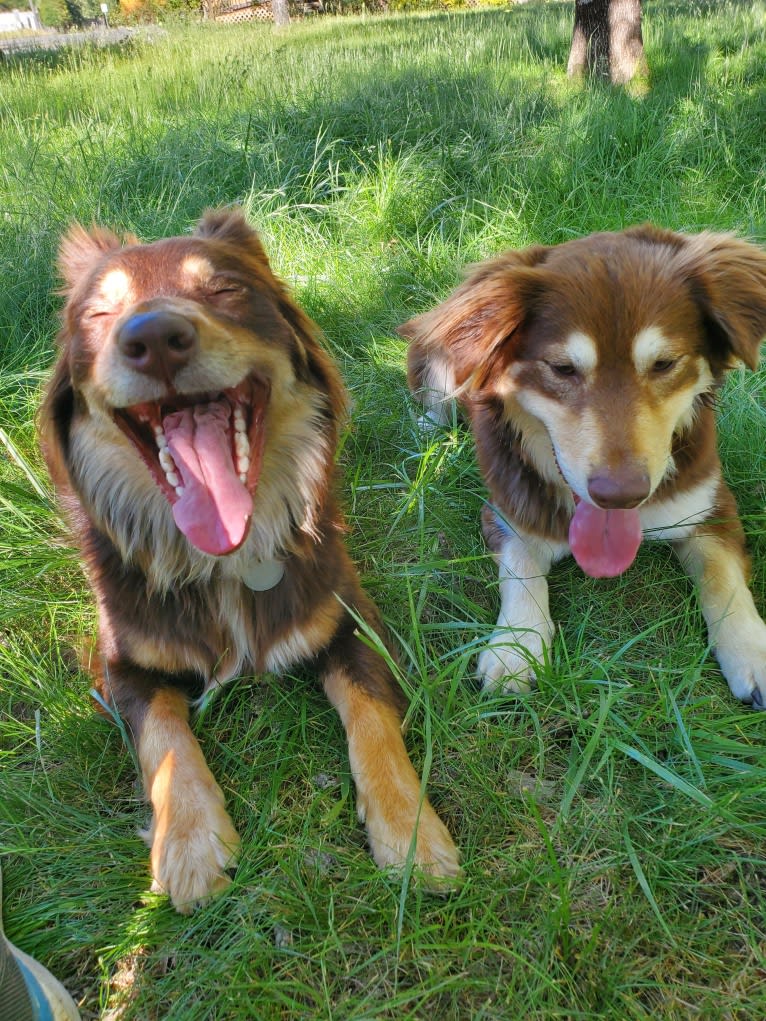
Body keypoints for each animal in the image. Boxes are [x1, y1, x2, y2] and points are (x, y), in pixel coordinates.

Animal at [41, 207, 459, 910]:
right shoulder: (120, 665)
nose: (154, 337)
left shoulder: (353, 624)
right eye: (100, 313)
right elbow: (165, 738)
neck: (223, 560)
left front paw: (410, 832)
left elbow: (373, 724)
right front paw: (188, 845)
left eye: (223, 289)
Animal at [402, 226, 766, 710]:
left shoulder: (709, 503)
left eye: (664, 364)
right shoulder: (508, 510)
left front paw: (752, 651)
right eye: (562, 369)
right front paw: (515, 647)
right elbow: (520, 567)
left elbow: (722, 575)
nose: (621, 495)